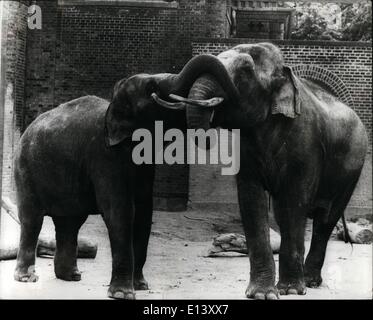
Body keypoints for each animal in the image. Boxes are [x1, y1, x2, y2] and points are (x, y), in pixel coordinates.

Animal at [12, 53, 232, 298]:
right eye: (151, 88)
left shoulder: (144, 165)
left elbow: (144, 212)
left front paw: (141, 286)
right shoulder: (105, 156)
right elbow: (120, 212)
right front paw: (122, 294)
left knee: (70, 222)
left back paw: (71, 276)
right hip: (25, 169)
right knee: (33, 219)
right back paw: (27, 278)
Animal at [170, 41, 368, 298]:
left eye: (245, 70)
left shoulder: (306, 145)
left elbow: (293, 202)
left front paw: (290, 290)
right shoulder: (245, 150)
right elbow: (252, 200)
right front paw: (261, 293)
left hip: (352, 169)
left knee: (325, 220)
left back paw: (310, 282)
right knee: (287, 215)